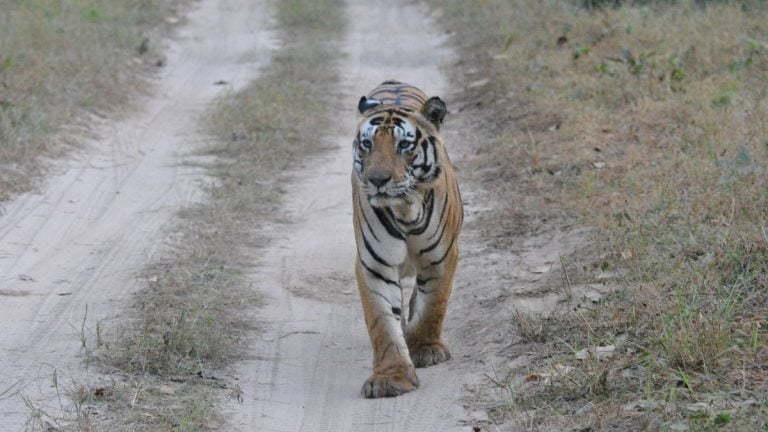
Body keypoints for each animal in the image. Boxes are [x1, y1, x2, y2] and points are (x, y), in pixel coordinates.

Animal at [351, 80, 463, 398]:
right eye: (368, 144)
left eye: (403, 145)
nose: (377, 180)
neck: (405, 210)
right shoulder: (375, 265)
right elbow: (382, 324)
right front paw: (391, 378)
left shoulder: (441, 257)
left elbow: (433, 306)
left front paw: (425, 348)